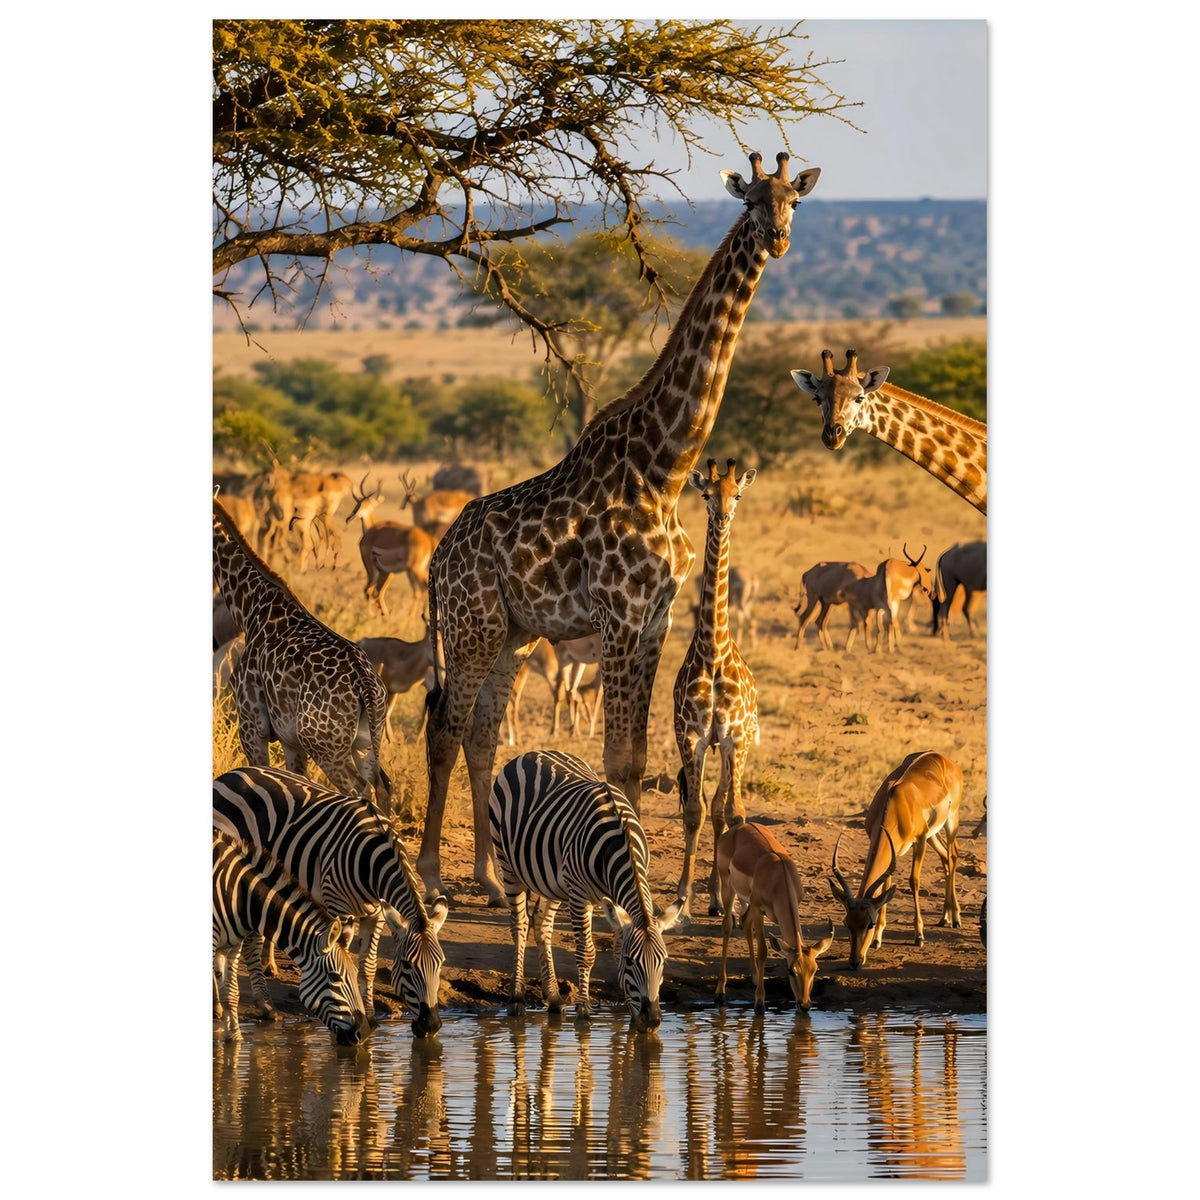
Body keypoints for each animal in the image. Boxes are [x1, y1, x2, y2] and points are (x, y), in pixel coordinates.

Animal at [212, 831, 368, 1044]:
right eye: (334, 977)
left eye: (355, 973)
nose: (362, 1034)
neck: (240, 895)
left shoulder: (232, 946)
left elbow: (232, 993)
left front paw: (235, 1038)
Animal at [489, 750, 685, 1031]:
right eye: (631, 962)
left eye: (664, 961)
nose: (652, 1021)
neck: (620, 842)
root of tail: (531, 753)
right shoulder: (580, 895)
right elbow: (587, 952)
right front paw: (583, 1010)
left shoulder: (614, 900)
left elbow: (615, 947)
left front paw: (630, 1012)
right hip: (508, 864)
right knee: (520, 925)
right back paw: (516, 999)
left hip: (553, 881)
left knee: (541, 923)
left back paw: (554, 998)